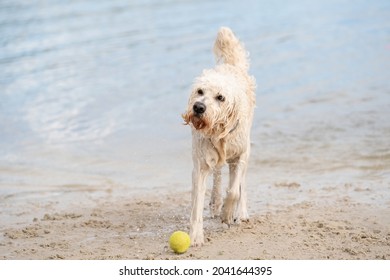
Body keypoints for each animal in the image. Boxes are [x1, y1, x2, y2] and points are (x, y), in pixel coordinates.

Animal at [182, 26, 256, 245]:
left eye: (220, 97)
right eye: (200, 91)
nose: (198, 107)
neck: (219, 132)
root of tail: (230, 66)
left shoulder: (240, 156)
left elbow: (233, 191)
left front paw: (228, 213)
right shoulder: (200, 165)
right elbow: (196, 205)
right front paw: (195, 236)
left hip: (245, 151)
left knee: (240, 183)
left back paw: (240, 212)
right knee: (217, 175)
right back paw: (215, 202)